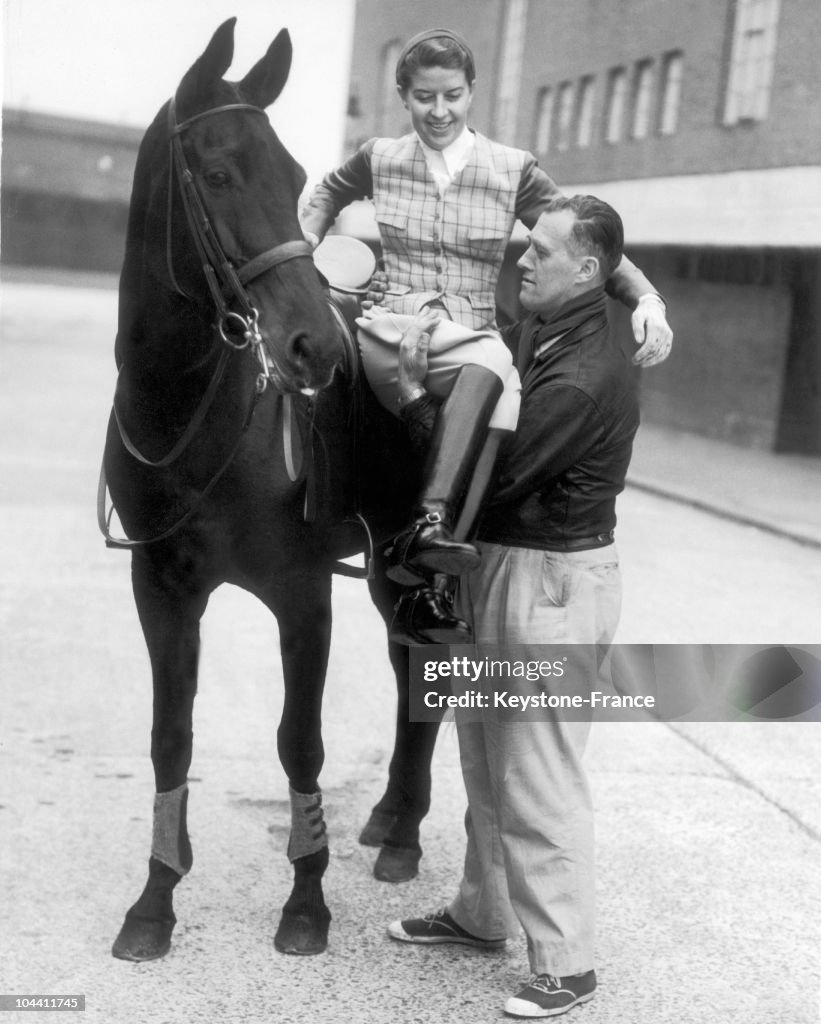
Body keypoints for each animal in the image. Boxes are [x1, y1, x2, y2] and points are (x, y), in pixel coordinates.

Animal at [101, 18, 442, 958]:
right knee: (407, 669)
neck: (190, 414)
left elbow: (300, 743)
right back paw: (391, 818)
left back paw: (402, 835)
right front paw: (154, 901)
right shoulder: (160, 589)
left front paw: (306, 902)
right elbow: (170, 739)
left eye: (293, 180)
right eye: (217, 175)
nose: (315, 347)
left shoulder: (300, 593)